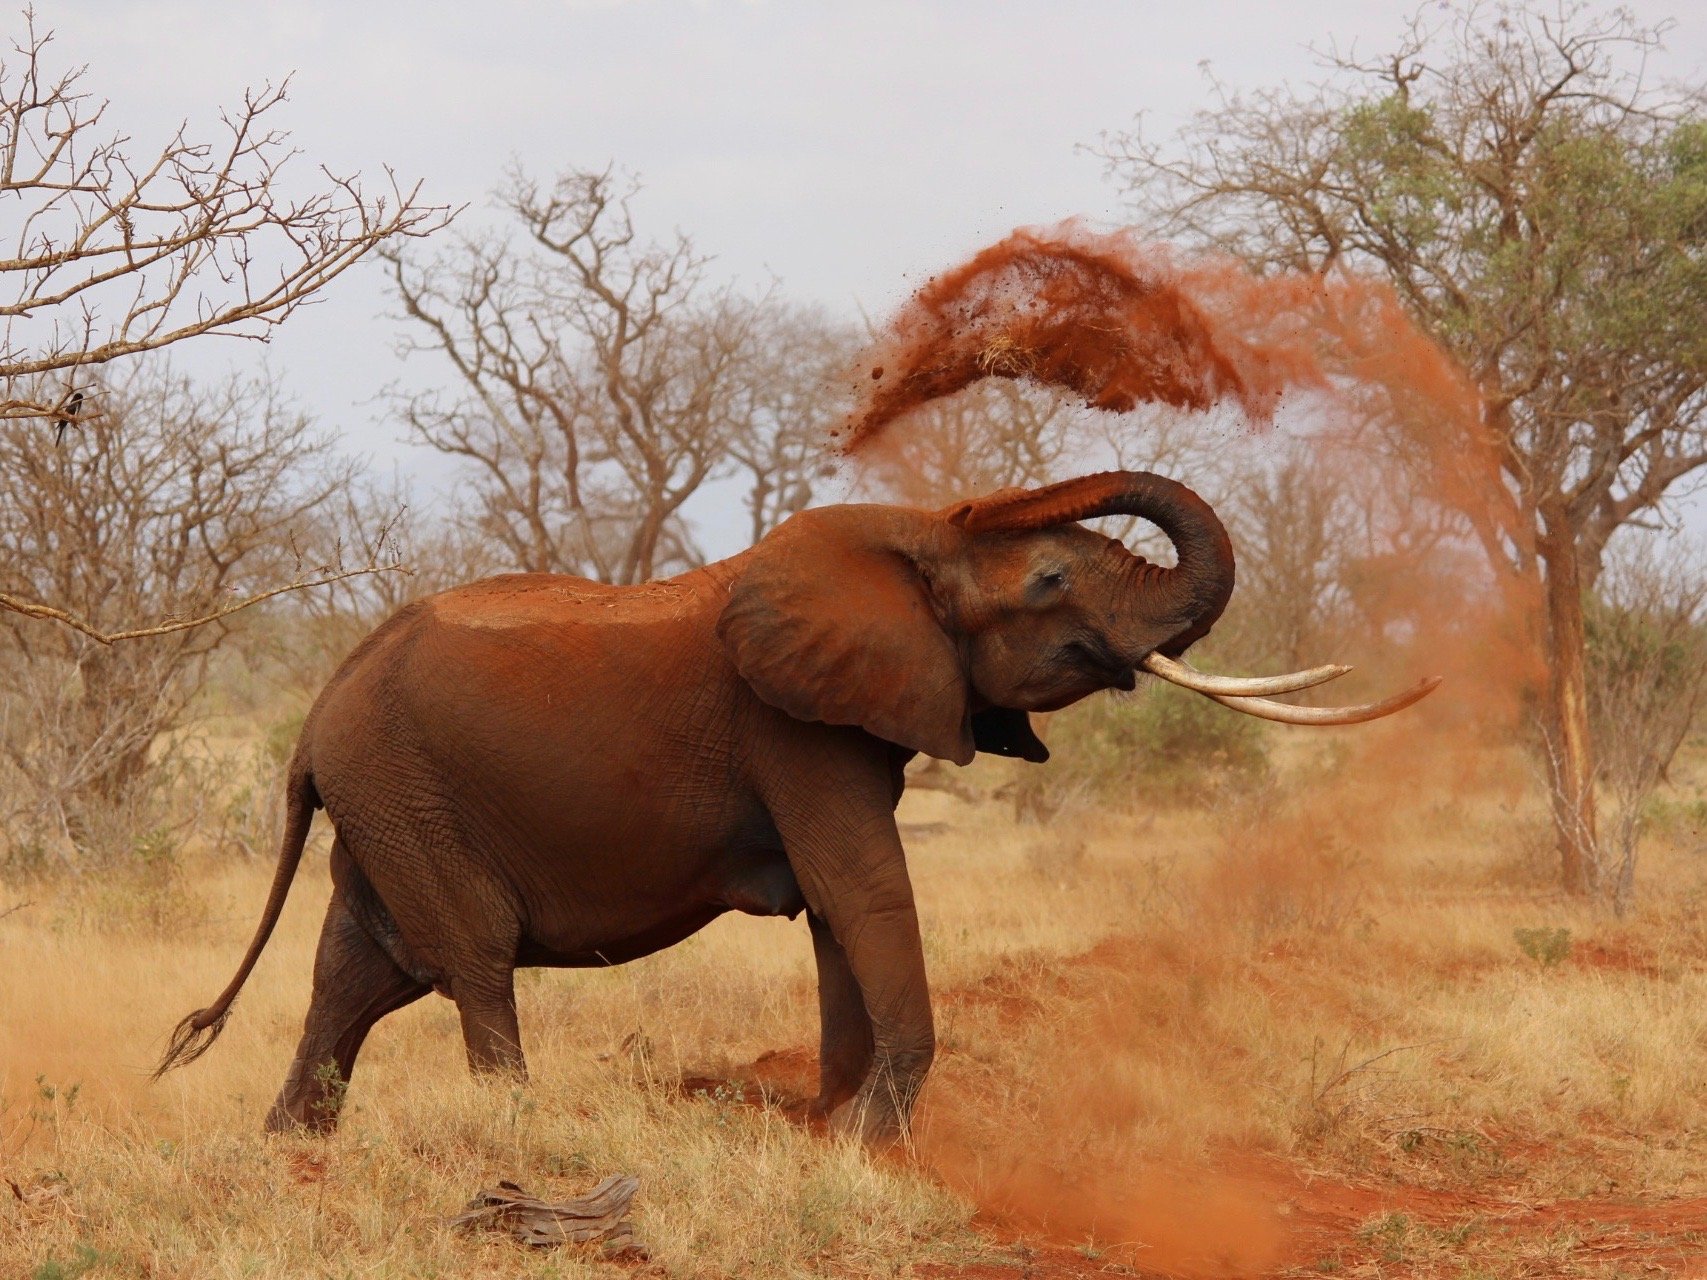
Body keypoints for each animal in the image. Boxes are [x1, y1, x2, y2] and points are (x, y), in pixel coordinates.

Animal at [153, 471, 1427, 1140]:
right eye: (1054, 578)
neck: (911, 541)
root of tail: (317, 713)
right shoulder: (796, 730)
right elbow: (862, 888)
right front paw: (871, 1139)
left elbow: (834, 910)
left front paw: (832, 1123)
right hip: (406, 788)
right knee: (468, 956)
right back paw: (518, 1132)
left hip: (384, 799)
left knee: (357, 970)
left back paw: (292, 1150)